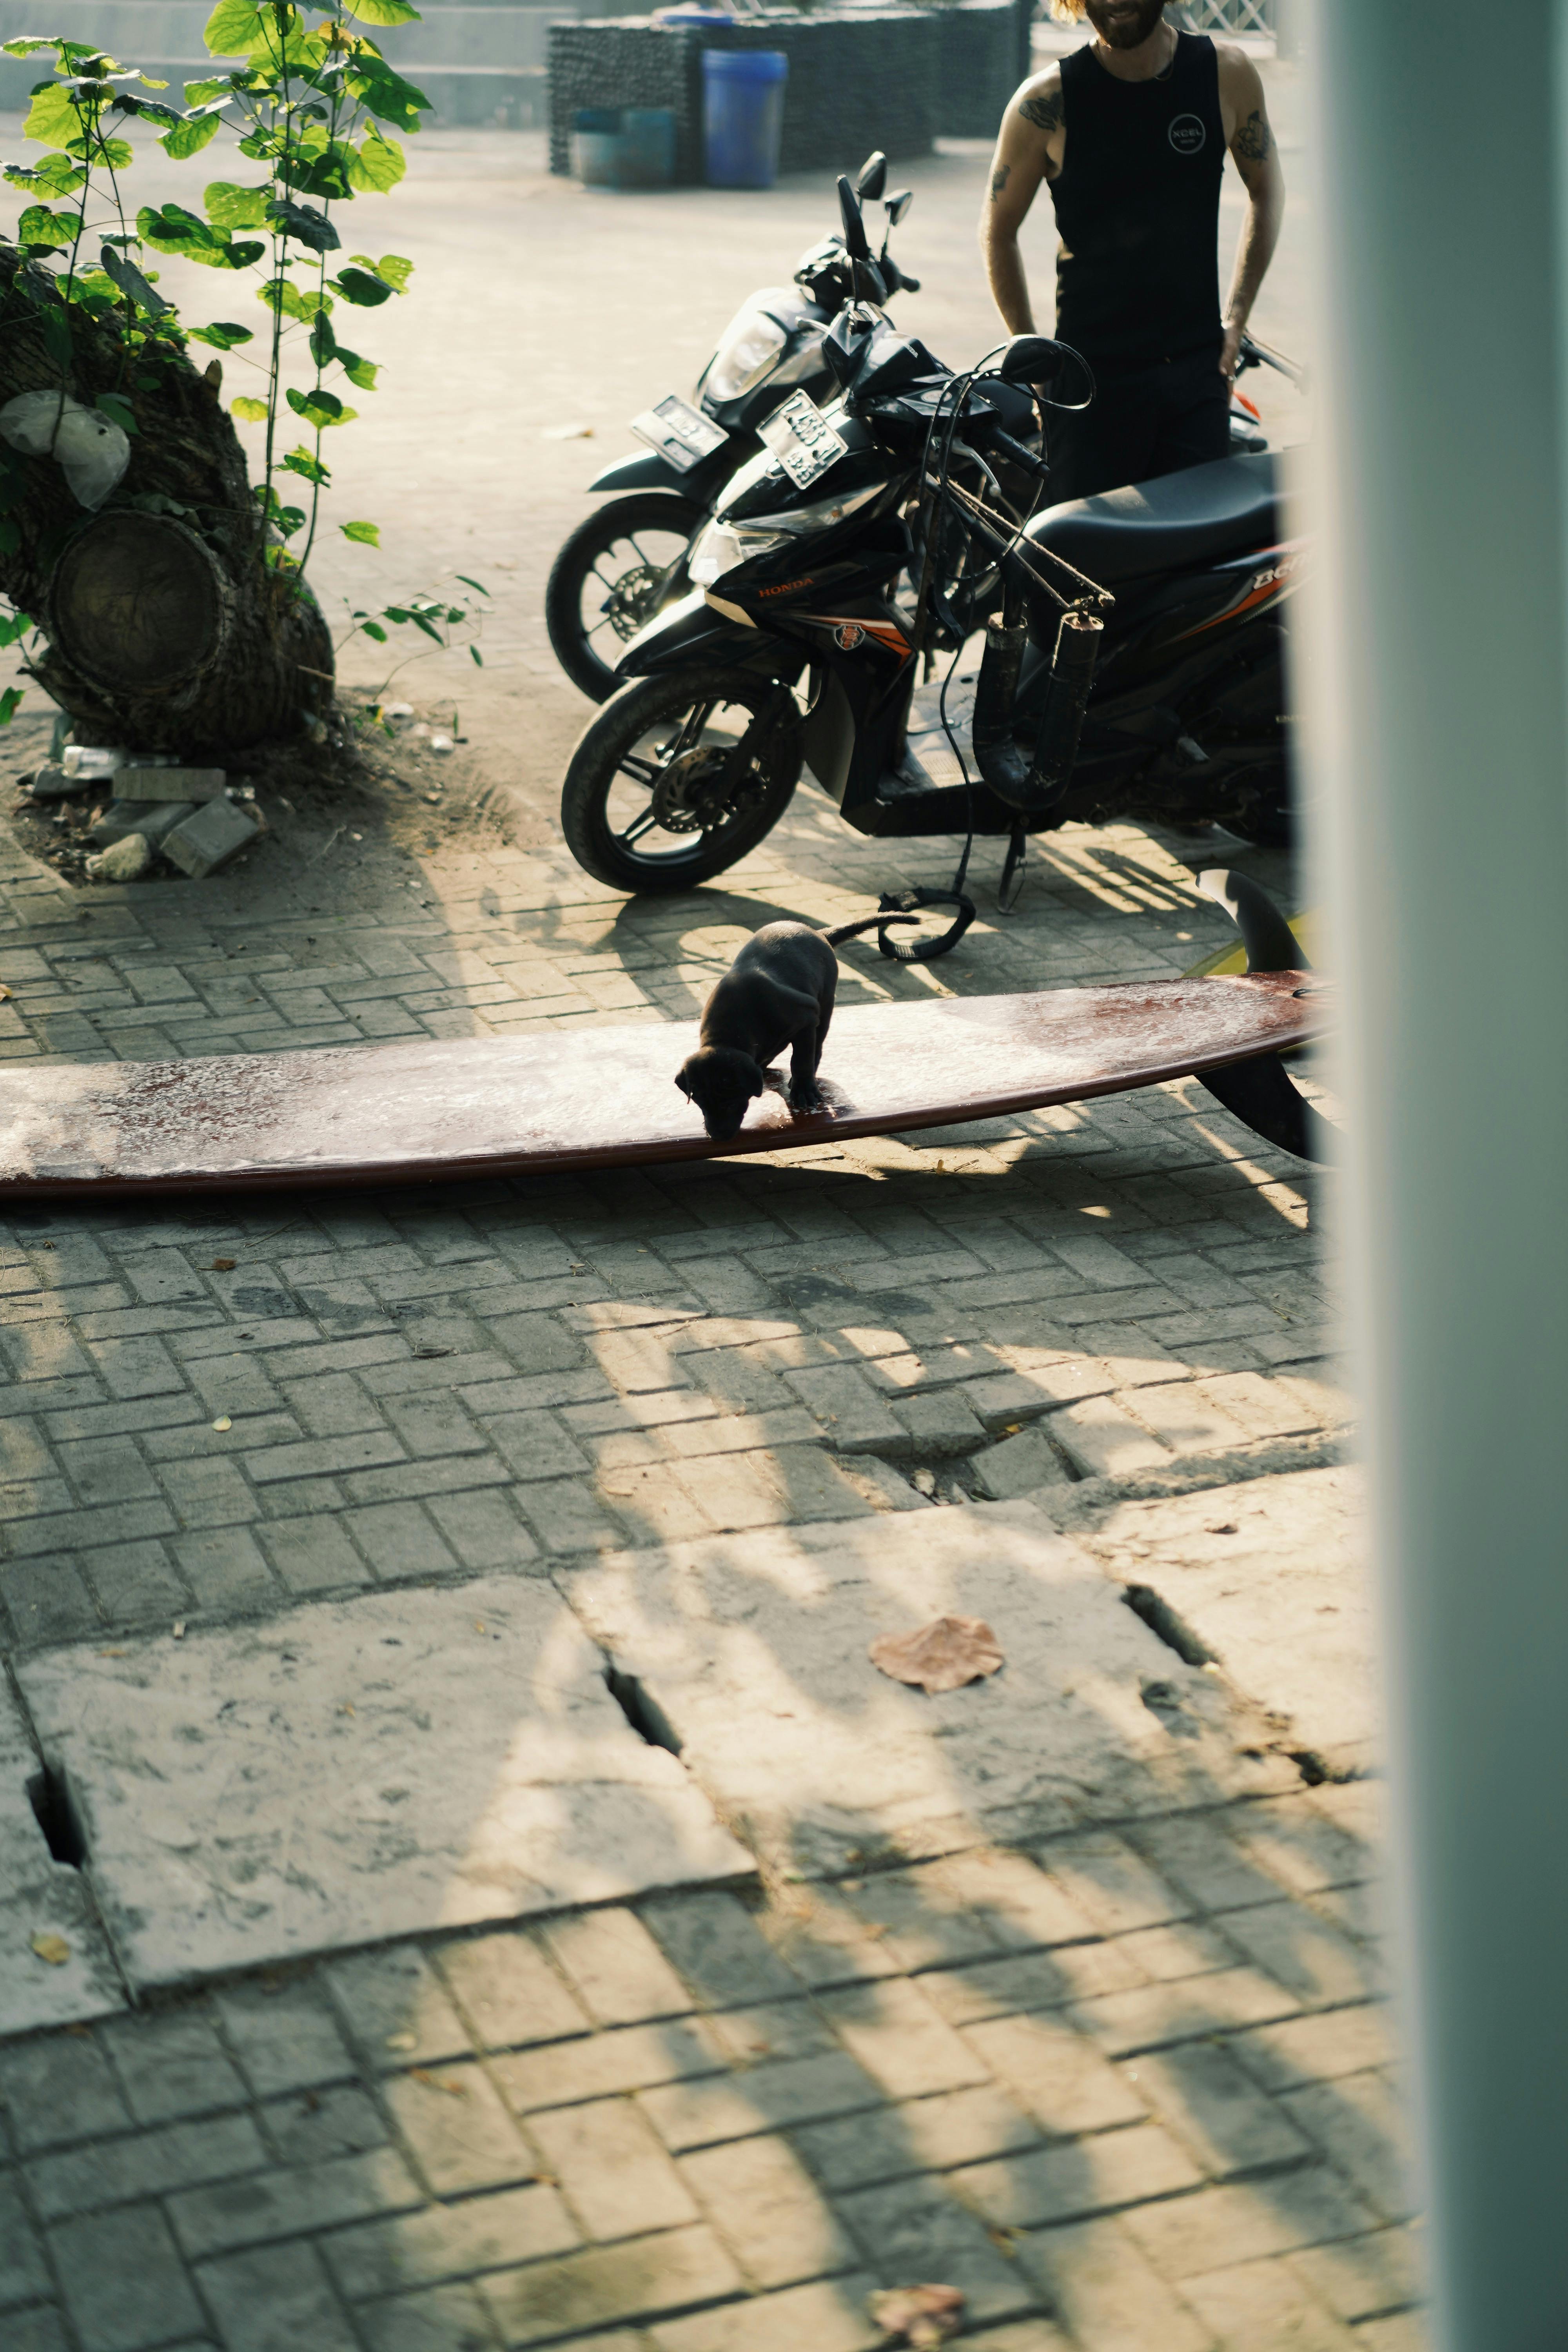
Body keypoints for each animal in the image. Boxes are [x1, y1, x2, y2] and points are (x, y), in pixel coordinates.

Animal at [677, 913, 921, 1143]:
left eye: (731, 1101)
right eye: (700, 1102)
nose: (717, 1136)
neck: (727, 1036)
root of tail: (819, 933)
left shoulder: (806, 1019)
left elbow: (801, 1060)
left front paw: (803, 1089)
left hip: (825, 1005)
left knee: (817, 1047)